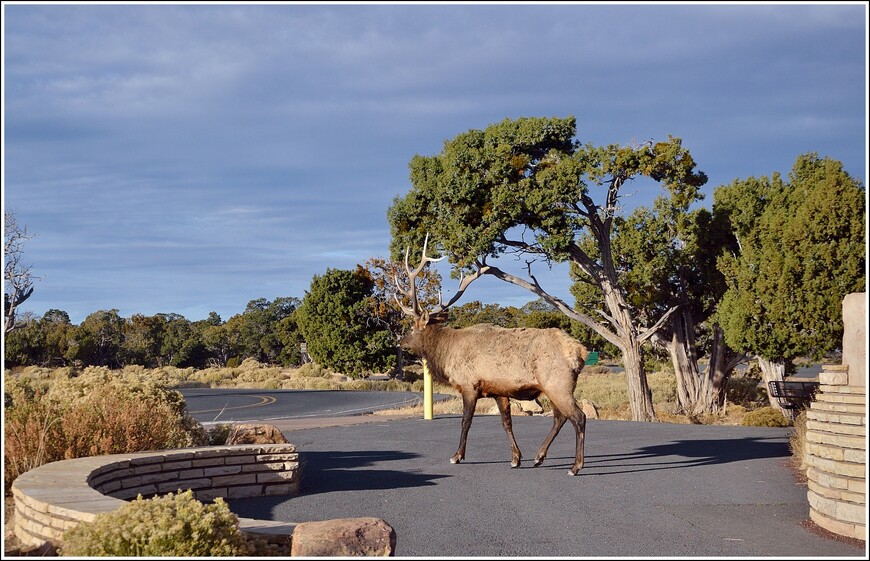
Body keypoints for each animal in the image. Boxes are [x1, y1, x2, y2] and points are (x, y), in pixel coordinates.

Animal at [396, 235, 592, 472]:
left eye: (412, 327)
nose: (400, 342)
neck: (446, 354)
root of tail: (580, 352)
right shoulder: (498, 390)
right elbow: (506, 422)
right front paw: (516, 458)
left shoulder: (469, 385)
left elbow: (466, 421)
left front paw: (457, 455)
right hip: (553, 387)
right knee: (559, 417)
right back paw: (539, 456)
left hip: (558, 383)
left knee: (578, 417)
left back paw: (576, 466)